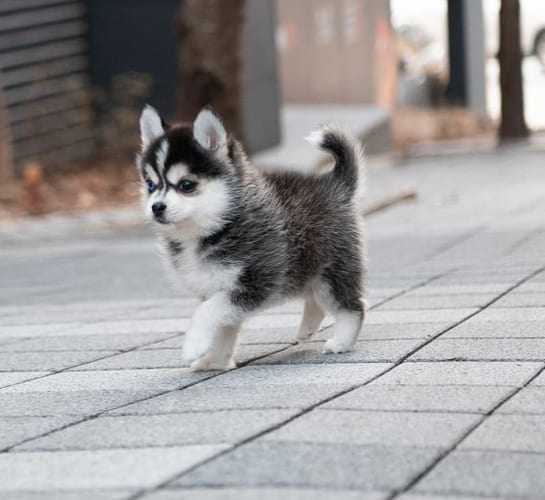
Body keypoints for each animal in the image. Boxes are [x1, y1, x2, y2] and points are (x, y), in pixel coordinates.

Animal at [137, 105, 366, 372]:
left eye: (186, 185)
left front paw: (194, 346)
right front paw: (215, 360)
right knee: (314, 298)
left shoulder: (255, 283)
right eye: (151, 184)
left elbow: (206, 312)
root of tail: (334, 181)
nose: (156, 207)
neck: (215, 228)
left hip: (333, 269)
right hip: (305, 269)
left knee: (352, 306)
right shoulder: (216, 286)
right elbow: (223, 328)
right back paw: (306, 330)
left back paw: (342, 341)